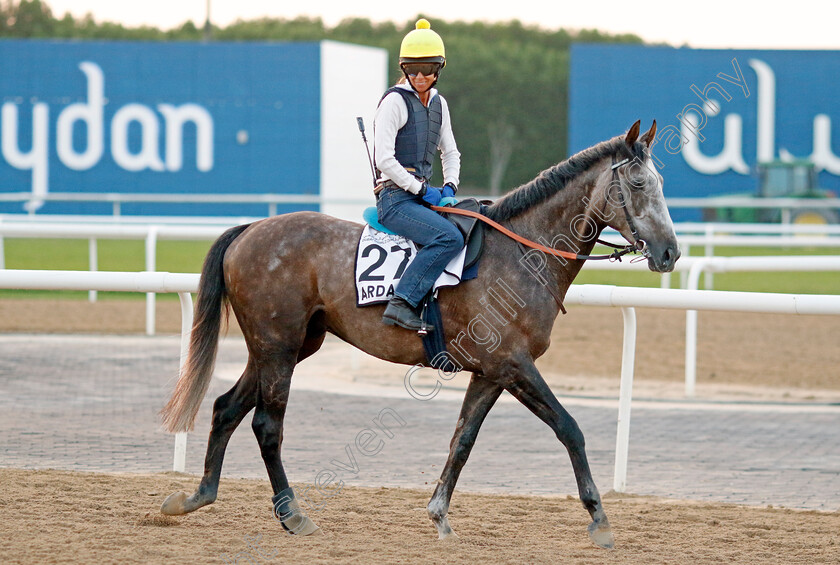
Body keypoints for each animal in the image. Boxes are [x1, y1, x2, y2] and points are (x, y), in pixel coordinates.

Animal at [161, 119, 680, 548]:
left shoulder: (491, 372)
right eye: (638, 183)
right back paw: (292, 514)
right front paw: (599, 518)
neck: (522, 254)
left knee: (226, 408)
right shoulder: (512, 363)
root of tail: (250, 230)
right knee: (267, 426)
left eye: (660, 184)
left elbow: (462, 440)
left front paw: (439, 515)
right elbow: (569, 428)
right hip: (279, 348)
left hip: (282, 347)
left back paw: (197, 496)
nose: (670, 252)